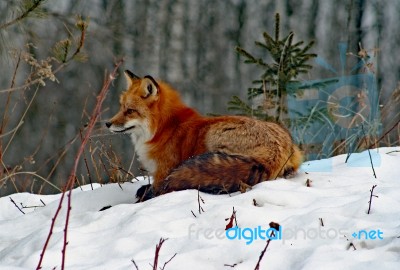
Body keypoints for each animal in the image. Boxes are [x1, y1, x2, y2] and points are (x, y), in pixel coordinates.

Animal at [107, 70, 304, 199]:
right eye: (121, 107)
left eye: (130, 111)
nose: (107, 123)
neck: (164, 128)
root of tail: (275, 152)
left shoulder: (162, 174)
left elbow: (154, 192)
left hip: (213, 134)